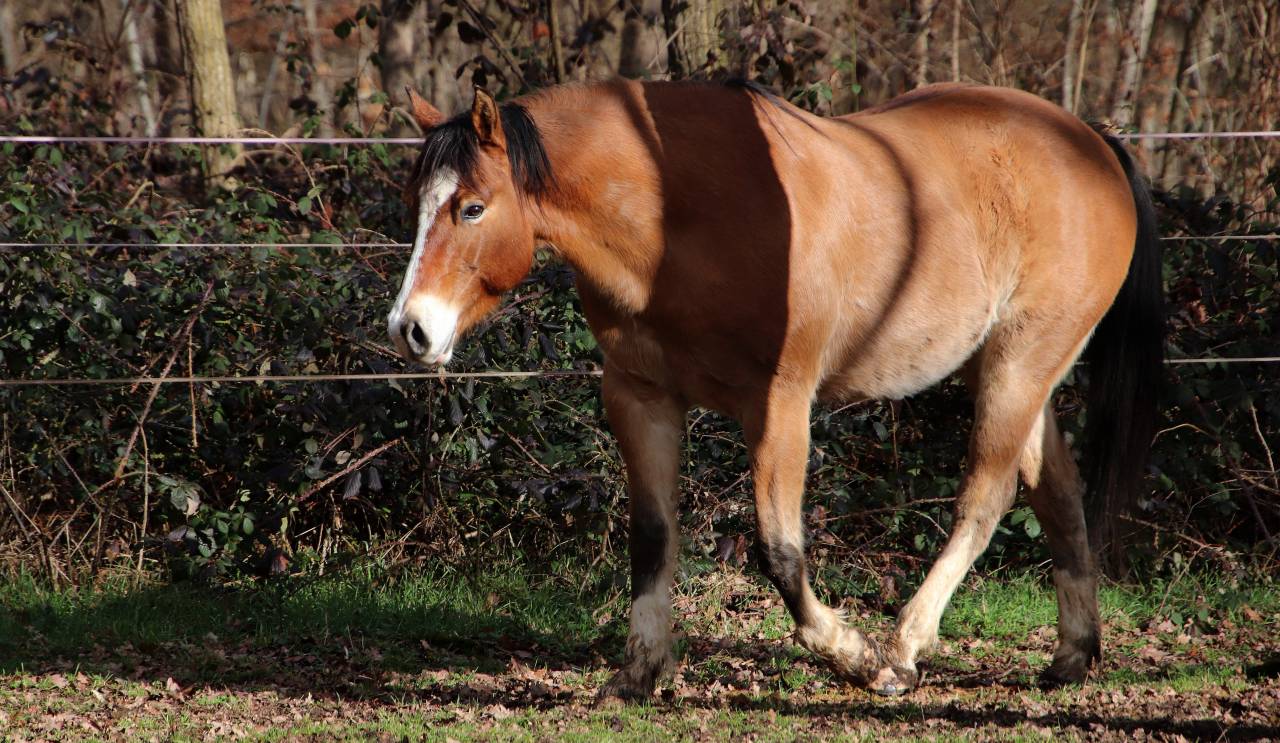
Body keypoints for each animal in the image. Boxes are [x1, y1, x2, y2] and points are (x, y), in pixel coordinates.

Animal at [386, 78, 1163, 698]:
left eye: (473, 208)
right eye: (416, 202)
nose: (411, 329)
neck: (682, 218)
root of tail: (1091, 142)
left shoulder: (779, 405)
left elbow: (779, 551)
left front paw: (853, 655)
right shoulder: (640, 398)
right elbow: (651, 536)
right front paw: (639, 671)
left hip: (1018, 365)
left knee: (987, 496)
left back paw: (905, 647)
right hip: (1014, 370)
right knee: (1056, 490)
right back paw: (1072, 655)